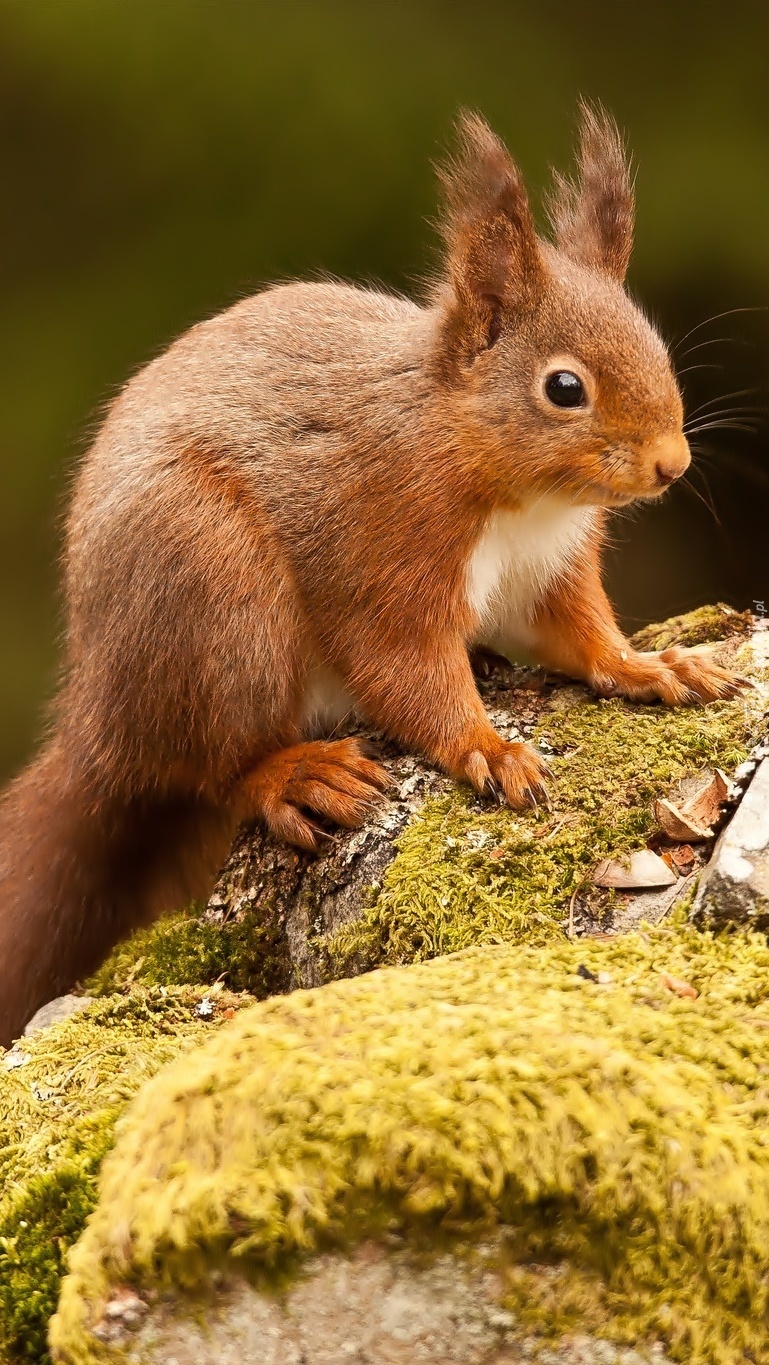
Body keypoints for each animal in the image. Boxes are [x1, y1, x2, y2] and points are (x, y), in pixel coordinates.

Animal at [1, 109, 748, 1042]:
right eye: (563, 387)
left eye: (654, 346)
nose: (669, 463)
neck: (514, 491)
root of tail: (98, 718)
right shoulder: (384, 546)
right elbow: (404, 667)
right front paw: (485, 745)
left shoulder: (549, 570)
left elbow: (582, 638)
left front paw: (651, 665)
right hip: (214, 598)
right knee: (211, 762)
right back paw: (297, 773)